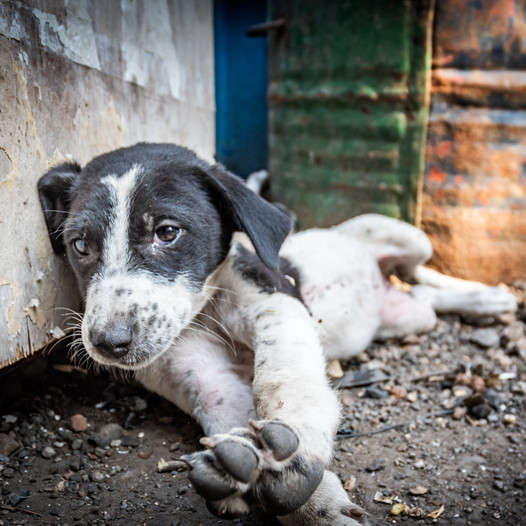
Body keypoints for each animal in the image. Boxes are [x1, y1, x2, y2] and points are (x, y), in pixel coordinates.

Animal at [39, 144, 516, 526]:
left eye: (167, 232)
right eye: (80, 245)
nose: (107, 343)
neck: (204, 310)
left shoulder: (275, 300)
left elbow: (286, 378)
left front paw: (295, 449)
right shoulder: (202, 377)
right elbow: (232, 420)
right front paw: (273, 481)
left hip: (402, 233)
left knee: (421, 271)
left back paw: (491, 296)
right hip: (409, 317)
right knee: (421, 294)